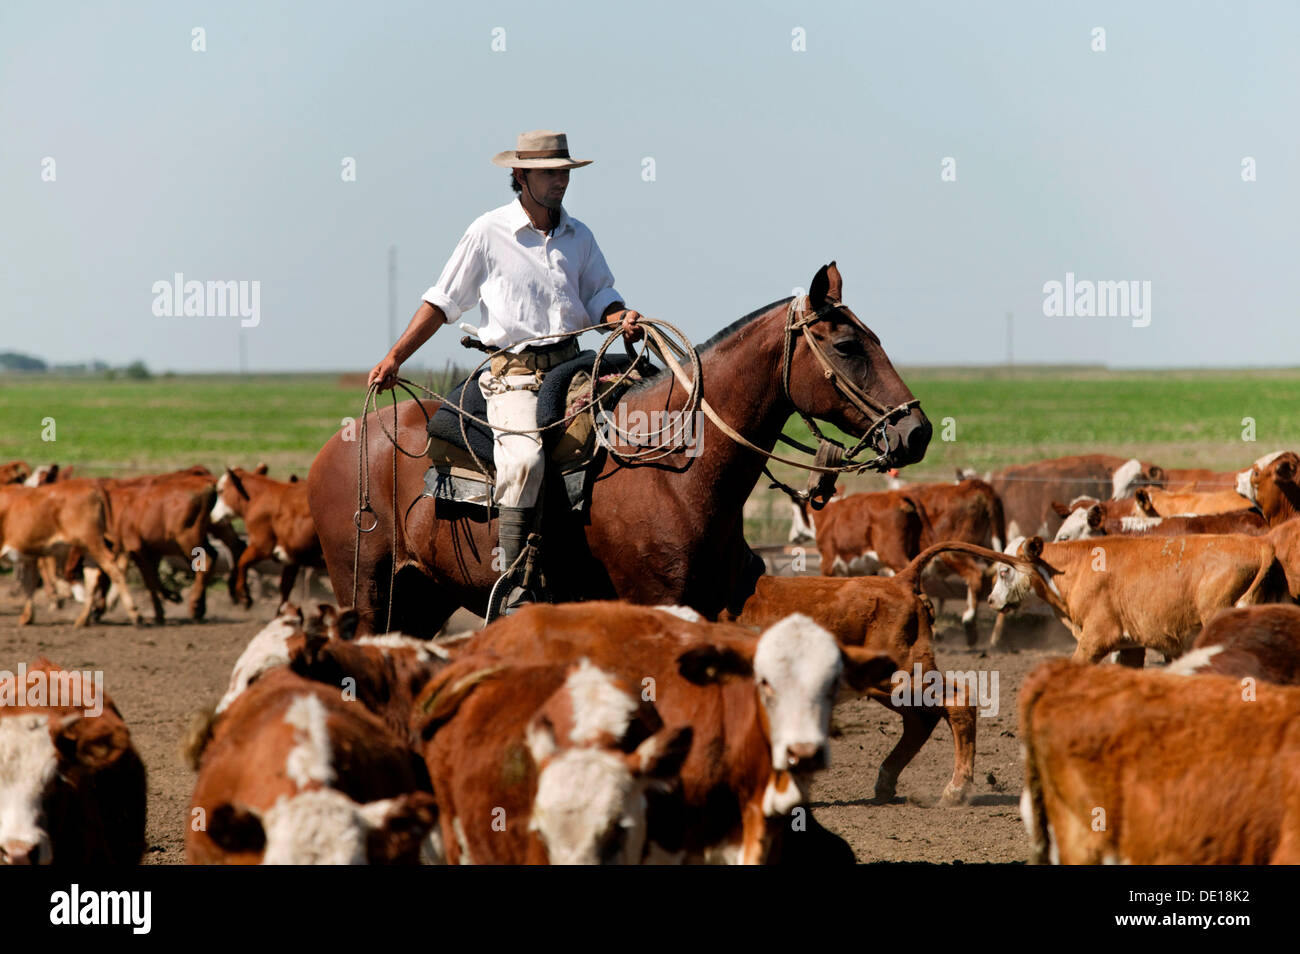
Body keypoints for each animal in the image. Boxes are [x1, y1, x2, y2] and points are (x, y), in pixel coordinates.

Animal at [309, 263, 930, 634]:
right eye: (847, 345)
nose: (917, 431)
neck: (675, 468)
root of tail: (342, 443)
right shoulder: (653, 602)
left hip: (421, 597)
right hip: (366, 594)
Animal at [987, 535, 1284, 670]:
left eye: (1005, 571)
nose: (990, 600)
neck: (1076, 568)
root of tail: (1259, 544)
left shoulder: (1095, 639)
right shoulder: (1130, 646)